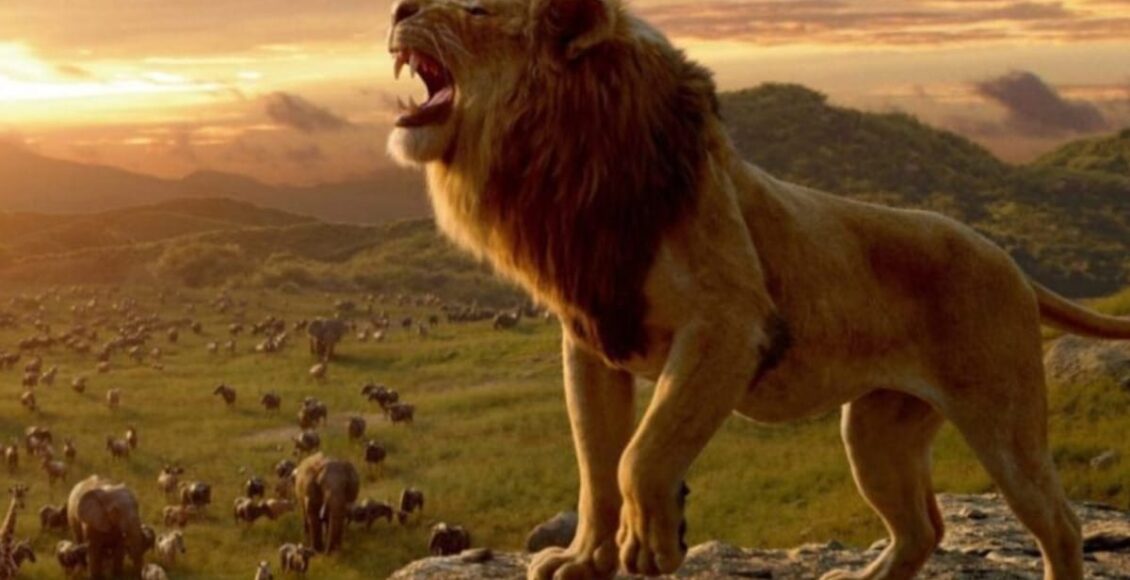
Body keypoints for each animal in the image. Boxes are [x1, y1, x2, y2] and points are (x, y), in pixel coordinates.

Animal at [385, 1, 1130, 579]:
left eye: (476, 9)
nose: (397, 9)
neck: (563, 167)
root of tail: (1009, 260)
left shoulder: (730, 324)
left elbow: (640, 454)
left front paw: (651, 545)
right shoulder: (591, 337)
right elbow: (595, 464)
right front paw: (585, 559)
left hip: (1003, 419)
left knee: (1058, 521)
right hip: (875, 432)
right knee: (924, 529)